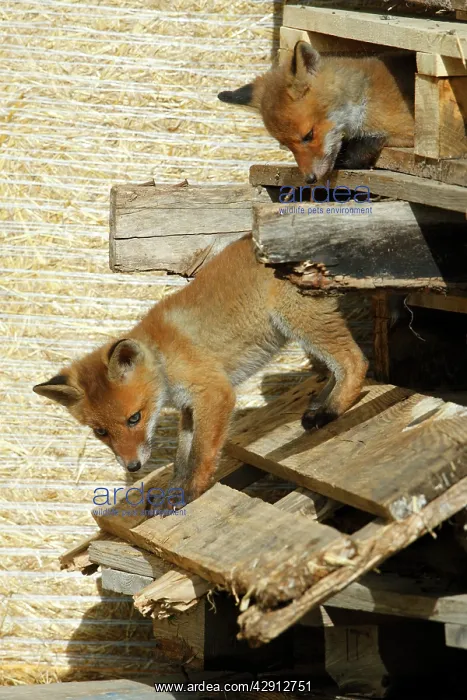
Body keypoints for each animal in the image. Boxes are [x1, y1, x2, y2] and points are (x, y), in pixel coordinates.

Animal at [33, 236, 368, 504]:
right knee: (337, 368)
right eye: (101, 432)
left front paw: (190, 492)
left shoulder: (215, 393)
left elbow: (201, 454)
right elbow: (183, 457)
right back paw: (321, 404)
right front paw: (175, 488)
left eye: (134, 419)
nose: (132, 467)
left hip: (301, 320)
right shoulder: (190, 406)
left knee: (356, 362)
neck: (163, 358)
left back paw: (332, 409)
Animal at [218, 41, 415, 183]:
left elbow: (367, 143)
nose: (310, 179)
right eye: (286, 145)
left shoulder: (409, 131)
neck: (364, 98)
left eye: (309, 135)